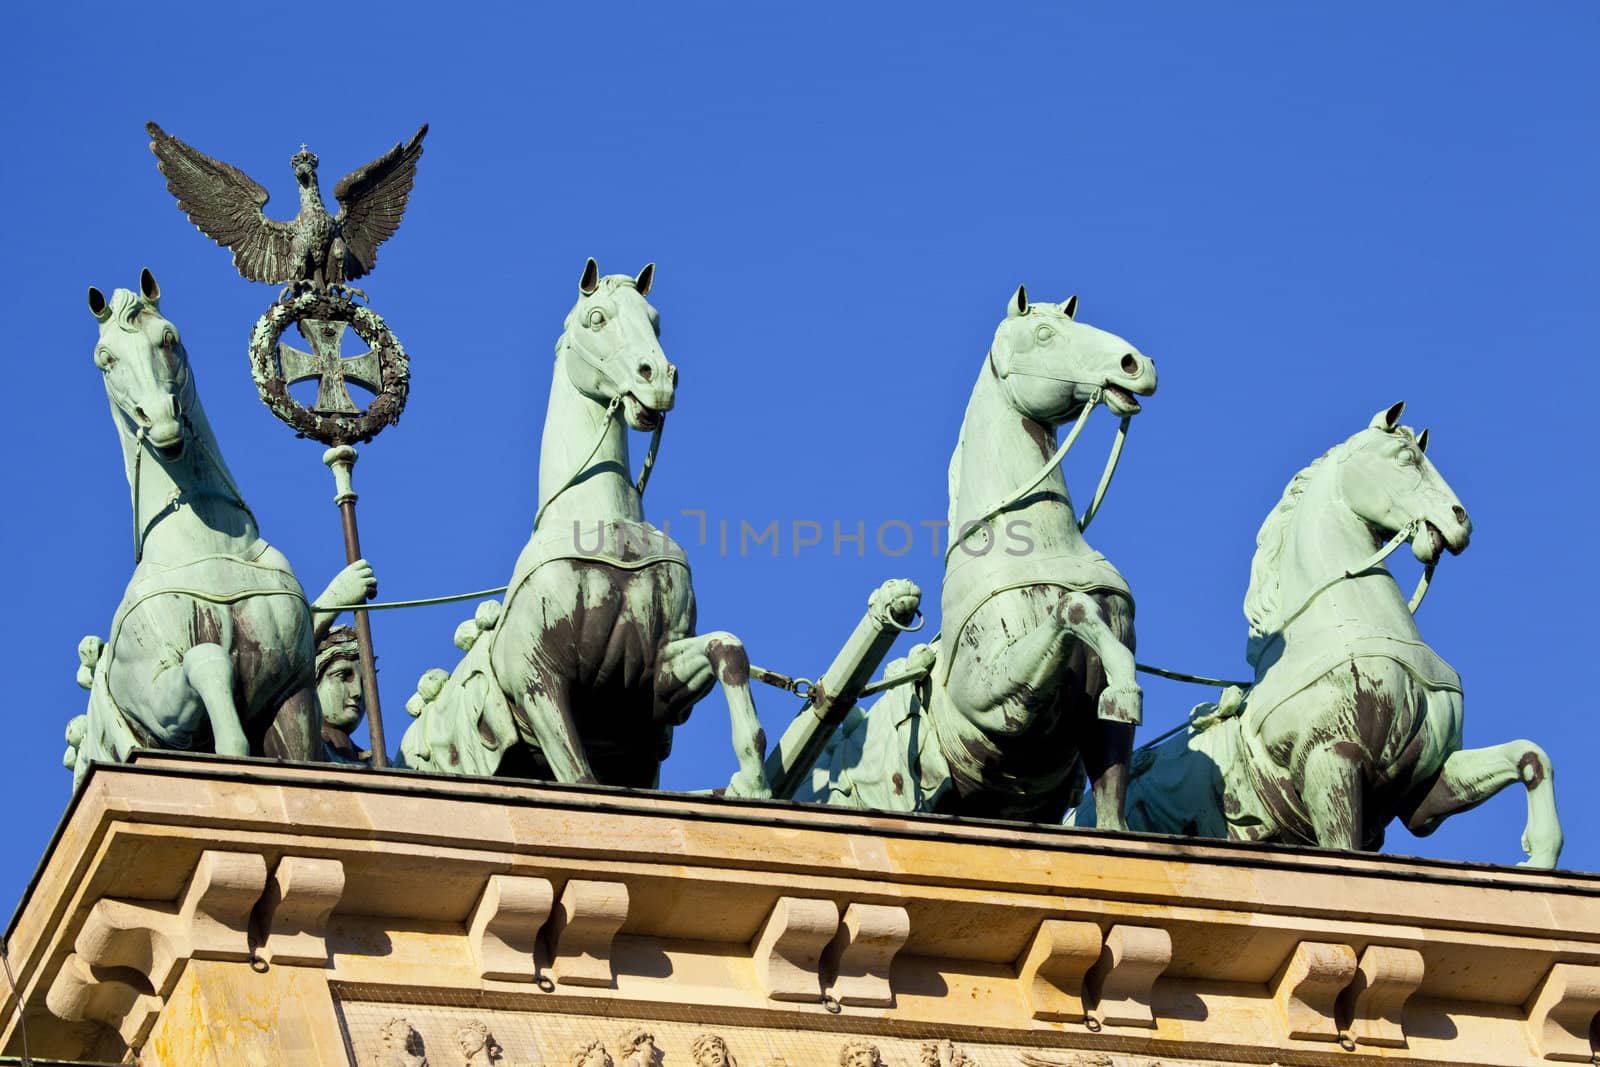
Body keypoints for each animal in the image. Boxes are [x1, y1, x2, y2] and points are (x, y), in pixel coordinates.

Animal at [403, 259, 771, 793]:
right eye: (595, 318)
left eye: (655, 320)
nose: (658, 379)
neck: (602, 523)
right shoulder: (538, 682)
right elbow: (579, 777)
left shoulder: (652, 682)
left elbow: (729, 649)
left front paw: (752, 779)